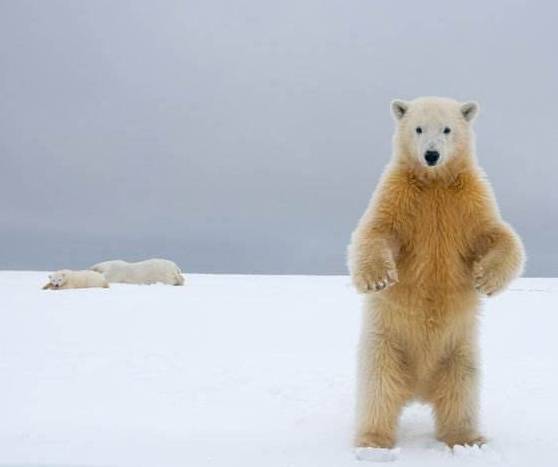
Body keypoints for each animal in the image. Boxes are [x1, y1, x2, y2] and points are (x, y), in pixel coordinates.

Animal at [348, 97, 528, 452]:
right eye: (418, 128)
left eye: (447, 129)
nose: (431, 155)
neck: (434, 183)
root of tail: (418, 389)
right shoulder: (400, 194)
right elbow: (377, 229)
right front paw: (377, 278)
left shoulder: (469, 200)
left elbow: (497, 234)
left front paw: (484, 279)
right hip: (386, 344)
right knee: (378, 389)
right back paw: (373, 441)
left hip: (459, 351)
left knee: (462, 391)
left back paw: (467, 438)